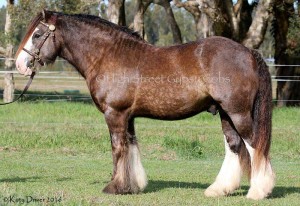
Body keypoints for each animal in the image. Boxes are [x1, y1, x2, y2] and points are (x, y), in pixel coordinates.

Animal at [15, 9, 274, 200]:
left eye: (37, 34)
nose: (20, 64)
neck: (108, 55)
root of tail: (249, 52)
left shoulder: (115, 114)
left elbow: (118, 148)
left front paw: (115, 187)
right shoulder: (128, 117)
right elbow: (131, 147)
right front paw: (133, 186)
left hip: (238, 113)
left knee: (254, 145)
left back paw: (258, 191)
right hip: (225, 113)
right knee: (234, 146)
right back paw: (219, 189)